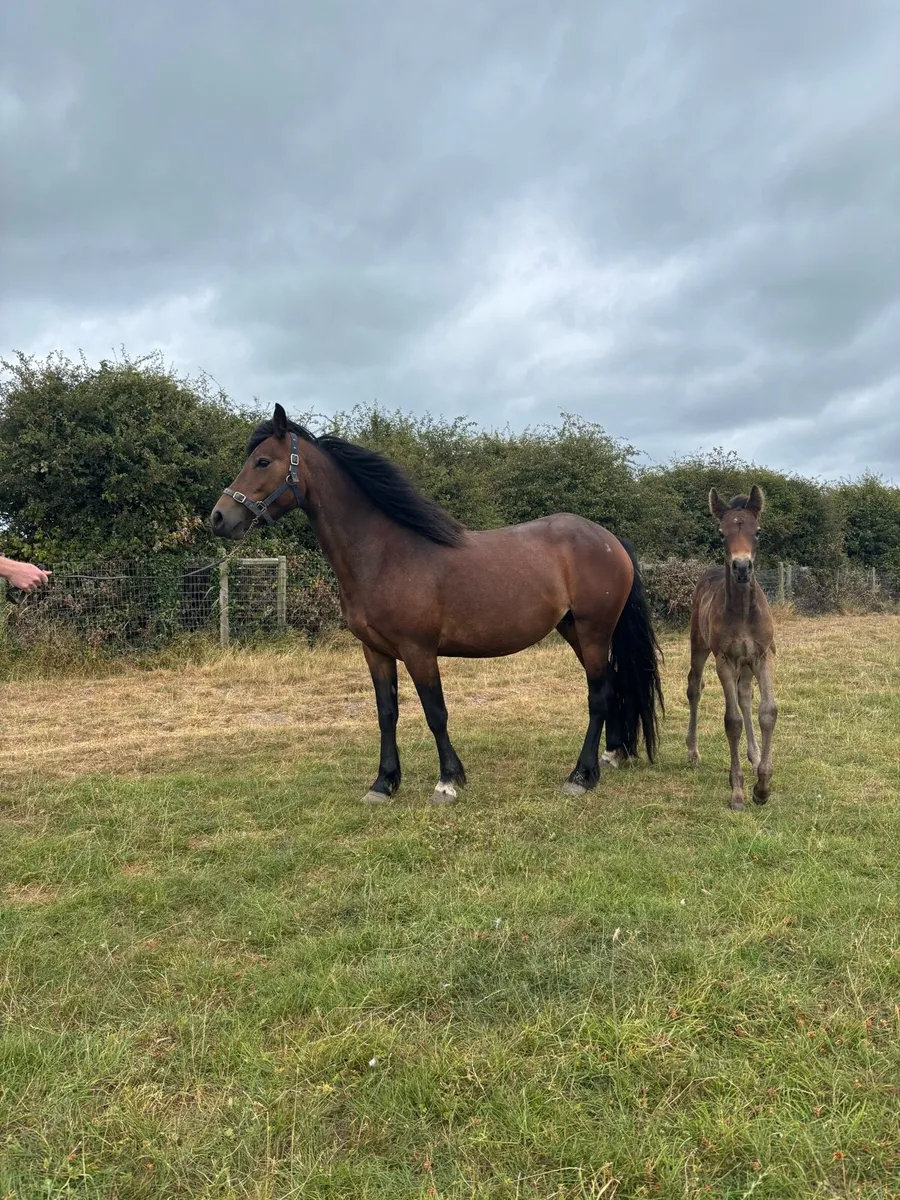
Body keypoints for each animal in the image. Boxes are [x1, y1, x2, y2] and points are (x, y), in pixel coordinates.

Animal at [211, 404, 663, 804]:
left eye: (262, 462)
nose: (219, 517)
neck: (385, 554)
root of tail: (609, 540)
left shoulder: (419, 651)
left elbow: (435, 712)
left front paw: (448, 781)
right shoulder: (375, 651)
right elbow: (386, 713)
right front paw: (383, 783)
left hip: (593, 629)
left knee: (598, 695)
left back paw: (582, 775)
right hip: (574, 630)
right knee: (611, 684)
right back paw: (613, 754)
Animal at [685, 486, 777, 811]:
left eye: (758, 531)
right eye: (722, 533)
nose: (741, 567)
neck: (743, 612)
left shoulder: (762, 656)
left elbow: (767, 712)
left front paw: (762, 786)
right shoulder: (724, 660)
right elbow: (732, 721)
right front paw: (737, 791)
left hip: (746, 663)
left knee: (745, 695)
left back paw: (754, 755)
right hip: (699, 646)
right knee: (694, 686)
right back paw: (693, 751)